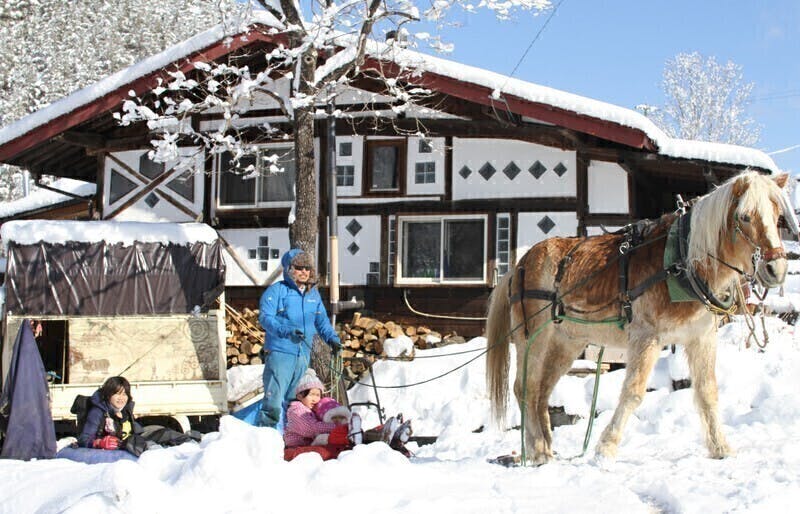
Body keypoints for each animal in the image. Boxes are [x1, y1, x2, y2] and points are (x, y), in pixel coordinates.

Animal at [484, 170, 796, 462]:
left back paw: (544, 449)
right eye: (745, 216)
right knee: (525, 388)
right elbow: (633, 391)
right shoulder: (647, 337)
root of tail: (520, 263)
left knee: (541, 392)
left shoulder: (702, 337)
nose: (776, 269)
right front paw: (606, 447)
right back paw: (537, 450)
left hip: (566, 343)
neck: (681, 261)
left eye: (778, 216)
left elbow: (708, 391)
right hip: (533, 339)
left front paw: (721, 448)